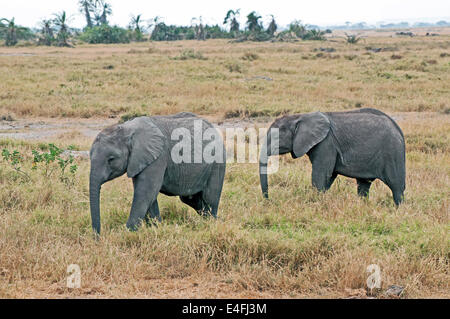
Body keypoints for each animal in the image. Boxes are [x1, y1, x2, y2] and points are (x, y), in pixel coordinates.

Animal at [90, 112, 227, 235]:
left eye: (111, 159)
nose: (98, 238)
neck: (127, 129)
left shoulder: (158, 157)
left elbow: (145, 192)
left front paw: (127, 234)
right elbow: (149, 195)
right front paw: (156, 228)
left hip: (217, 162)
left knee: (209, 198)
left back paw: (213, 223)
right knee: (191, 199)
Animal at [258, 109, 406, 206]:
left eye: (276, 137)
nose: (268, 200)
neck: (300, 116)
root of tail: (399, 130)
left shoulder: (326, 143)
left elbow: (321, 174)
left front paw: (316, 202)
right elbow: (328, 176)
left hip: (392, 153)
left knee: (396, 187)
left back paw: (399, 209)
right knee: (363, 186)